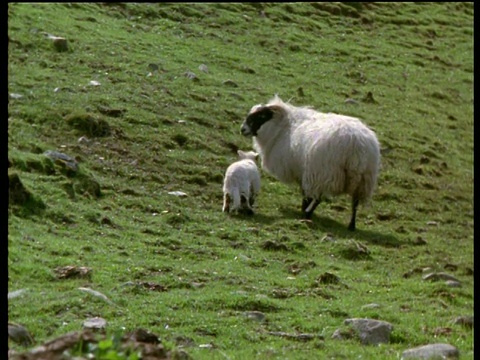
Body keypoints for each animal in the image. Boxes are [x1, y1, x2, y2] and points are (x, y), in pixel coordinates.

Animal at [242, 95, 380, 231]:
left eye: (261, 116)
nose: (242, 129)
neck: (282, 127)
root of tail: (357, 144)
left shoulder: (304, 172)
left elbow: (305, 194)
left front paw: (304, 208)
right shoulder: (303, 172)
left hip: (322, 173)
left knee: (318, 198)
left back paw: (308, 213)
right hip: (363, 181)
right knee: (355, 203)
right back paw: (351, 225)